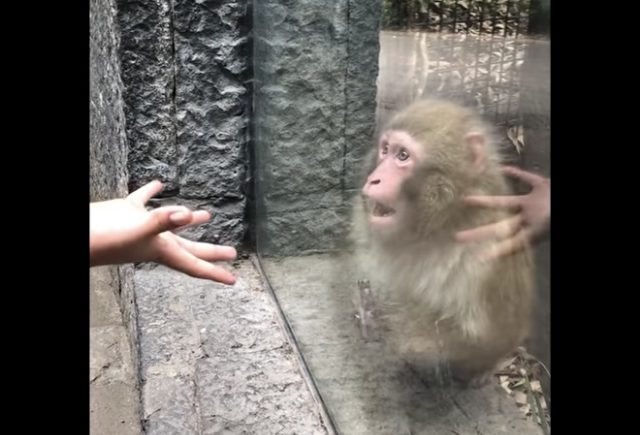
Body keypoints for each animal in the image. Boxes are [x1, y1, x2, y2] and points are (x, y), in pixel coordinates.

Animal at [349, 99, 535, 387]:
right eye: (385, 150)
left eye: (403, 156)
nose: (374, 179)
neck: (443, 223)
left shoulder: (484, 254)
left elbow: (481, 335)